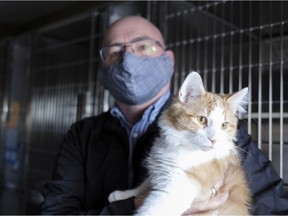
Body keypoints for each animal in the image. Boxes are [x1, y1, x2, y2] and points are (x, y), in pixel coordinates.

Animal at [109, 71, 251, 215]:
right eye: (201, 119)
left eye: (224, 125)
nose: (214, 140)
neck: (180, 147)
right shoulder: (161, 170)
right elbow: (144, 184)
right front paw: (123, 194)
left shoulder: (175, 190)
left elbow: (147, 211)